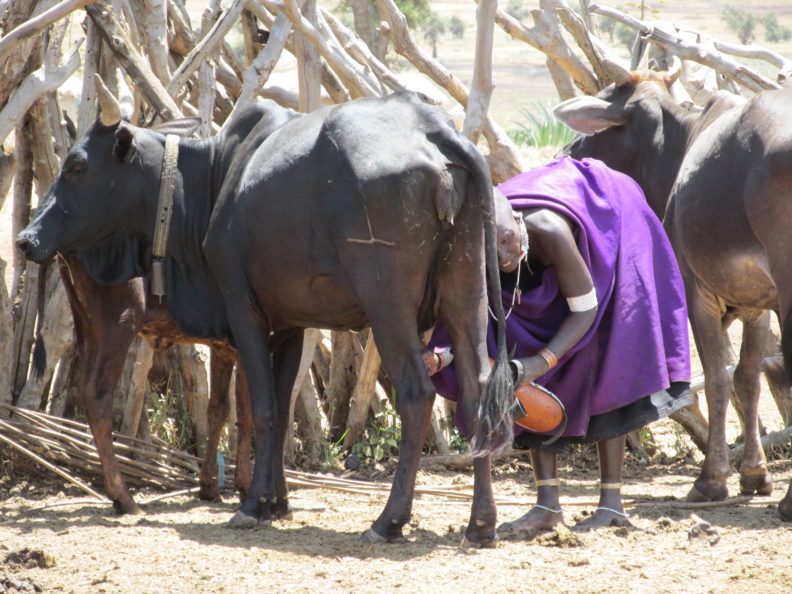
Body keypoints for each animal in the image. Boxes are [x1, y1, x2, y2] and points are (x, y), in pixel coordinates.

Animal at [17, 81, 514, 545]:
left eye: (77, 165)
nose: (25, 238)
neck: (211, 180)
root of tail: (433, 128)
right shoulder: (290, 326)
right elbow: (276, 404)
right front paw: (277, 500)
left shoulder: (243, 308)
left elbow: (263, 408)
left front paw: (254, 502)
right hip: (466, 295)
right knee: (478, 393)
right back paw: (481, 522)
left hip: (386, 306)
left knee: (417, 393)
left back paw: (389, 520)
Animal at [553, 64, 792, 520]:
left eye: (602, 110)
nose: (564, 154)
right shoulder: (756, 304)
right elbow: (747, 380)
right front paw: (755, 474)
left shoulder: (699, 296)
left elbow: (717, 380)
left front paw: (711, 480)